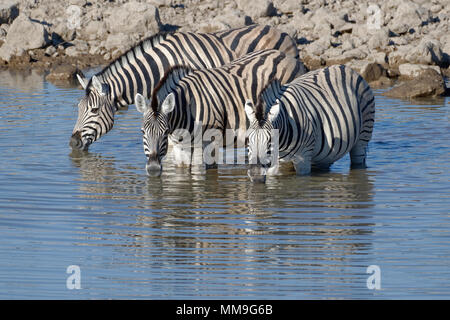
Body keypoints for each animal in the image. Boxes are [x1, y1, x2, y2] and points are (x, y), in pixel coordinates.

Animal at [132, 48, 304, 176]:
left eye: (165, 131)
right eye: (142, 132)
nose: (153, 169)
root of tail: (289, 57)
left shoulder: (210, 141)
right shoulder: (181, 149)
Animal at [244, 64, 374, 182]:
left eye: (270, 141)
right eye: (248, 140)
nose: (256, 175)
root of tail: (345, 67)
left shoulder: (303, 158)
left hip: (363, 135)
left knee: (358, 161)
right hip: (326, 154)